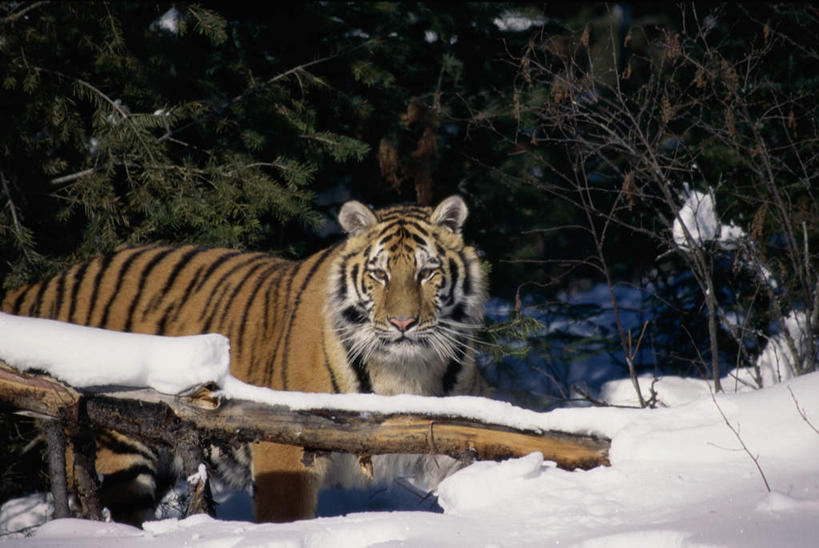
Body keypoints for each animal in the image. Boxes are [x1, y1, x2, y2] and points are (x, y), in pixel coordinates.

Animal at [1, 195, 486, 524]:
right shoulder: (285, 450)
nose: (403, 322)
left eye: (427, 272)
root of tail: (55, 279)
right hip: (114, 452)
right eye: (379, 274)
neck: (403, 368)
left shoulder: (452, 437)